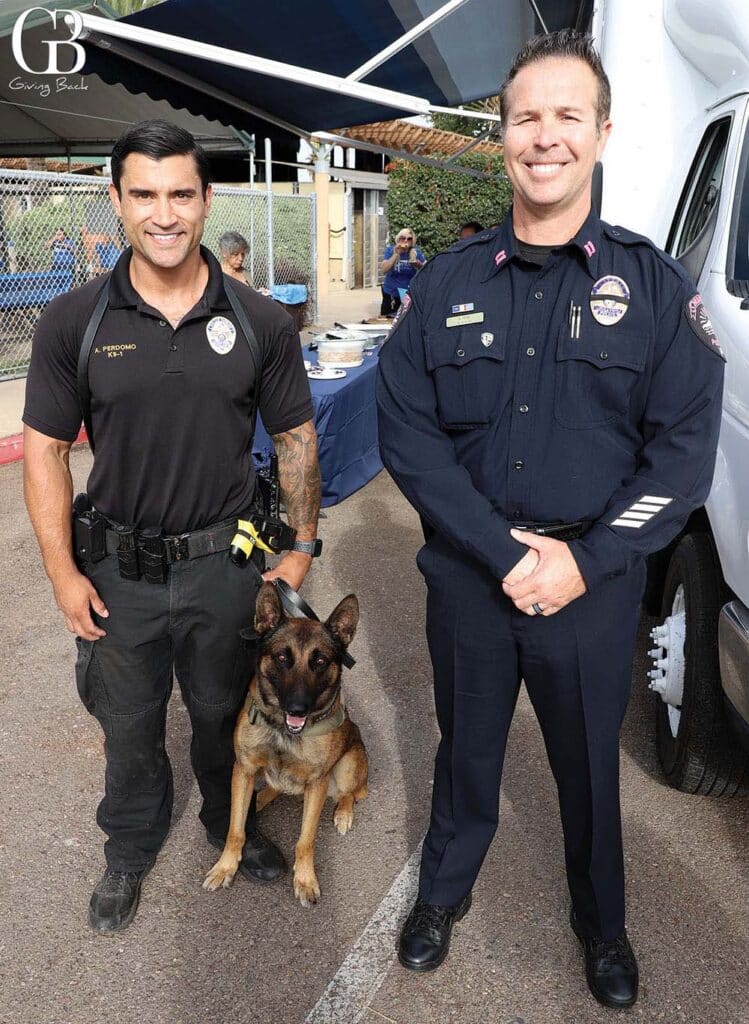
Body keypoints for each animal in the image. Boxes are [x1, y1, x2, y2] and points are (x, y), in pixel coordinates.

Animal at [203, 581, 370, 909]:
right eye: (282, 658)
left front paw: (305, 880)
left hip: (348, 765)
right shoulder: (243, 769)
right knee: (274, 787)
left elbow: (305, 840)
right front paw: (226, 867)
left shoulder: (318, 783)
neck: (283, 730)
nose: (298, 708)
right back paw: (259, 799)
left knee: (352, 793)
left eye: (320, 661)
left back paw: (343, 813)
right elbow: (235, 830)